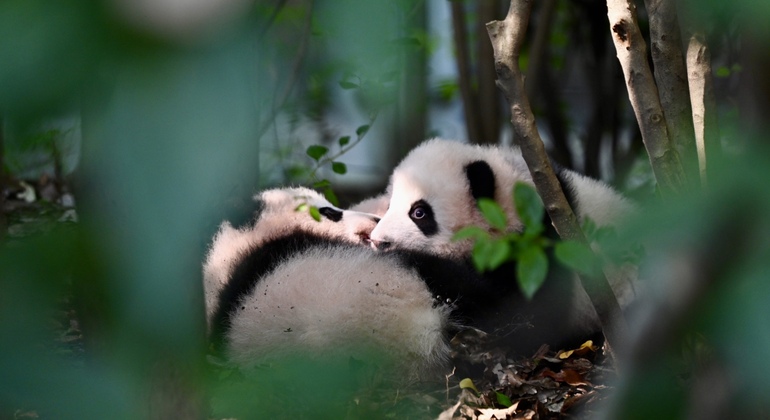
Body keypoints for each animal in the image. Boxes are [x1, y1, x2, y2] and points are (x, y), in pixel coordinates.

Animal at [367, 138, 637, 355]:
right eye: (389, 205)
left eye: (419, 213)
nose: (379, 241)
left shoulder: (542, 247)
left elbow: (518, 318)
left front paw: (412, 258)